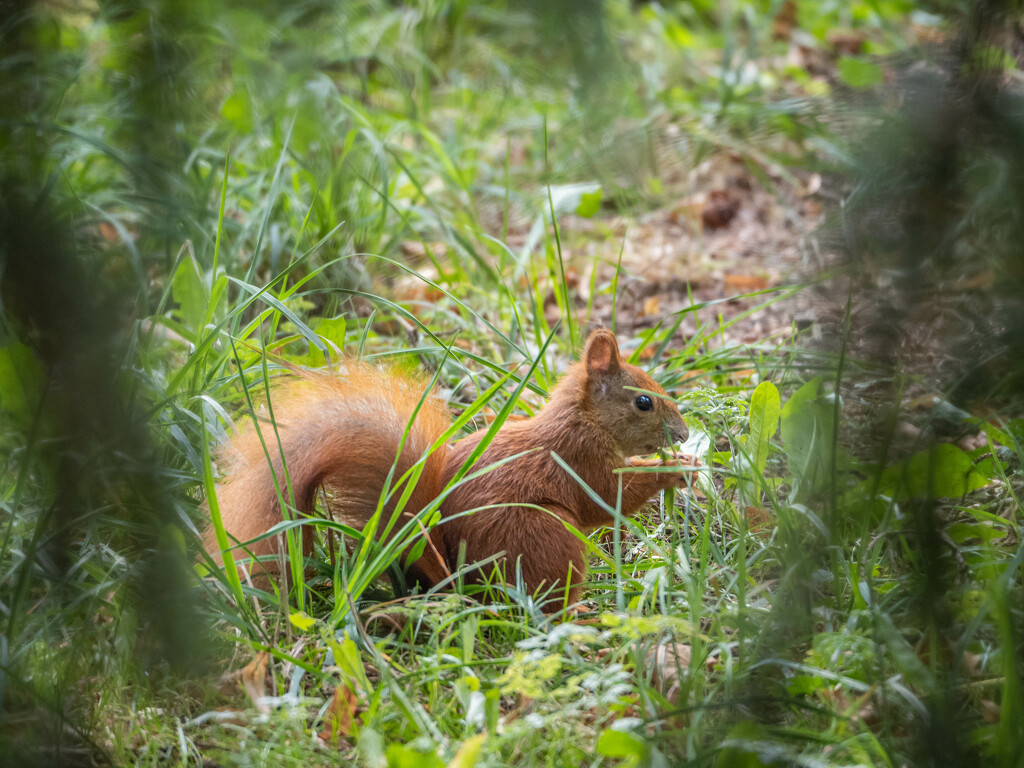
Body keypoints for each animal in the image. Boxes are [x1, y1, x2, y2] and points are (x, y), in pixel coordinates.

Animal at [201, 331, 688, 614]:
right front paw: (676, 469)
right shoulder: (579, 460)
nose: (683, 434)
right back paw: (576, 616)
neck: (583, 420)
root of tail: (459, 583)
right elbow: (608, 497)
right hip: (546, 535)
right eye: (643, 401)